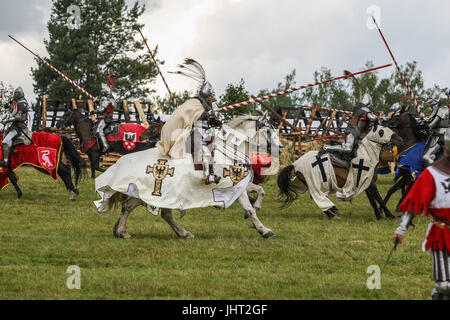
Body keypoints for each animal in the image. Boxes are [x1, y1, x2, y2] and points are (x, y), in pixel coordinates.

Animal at [93, 114, 280, 239]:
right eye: (268, 131)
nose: (280, 147)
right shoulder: (235, 186)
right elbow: (249, 208)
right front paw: (264, 230)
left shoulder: (242, 185)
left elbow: (260, 191)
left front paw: (256, 214)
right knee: (147, 210)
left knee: (136, 208)